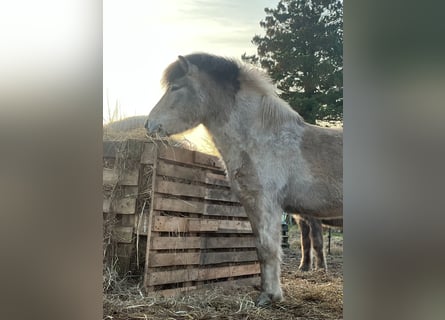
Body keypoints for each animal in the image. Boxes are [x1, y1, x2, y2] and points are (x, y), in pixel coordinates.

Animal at [144, 53, 342, 304]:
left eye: (176, 87)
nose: (149, 124)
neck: (264, 139)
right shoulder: (252, 204)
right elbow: (259, 248)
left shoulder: (266, 204)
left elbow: (268, 248)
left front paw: (269, 296)